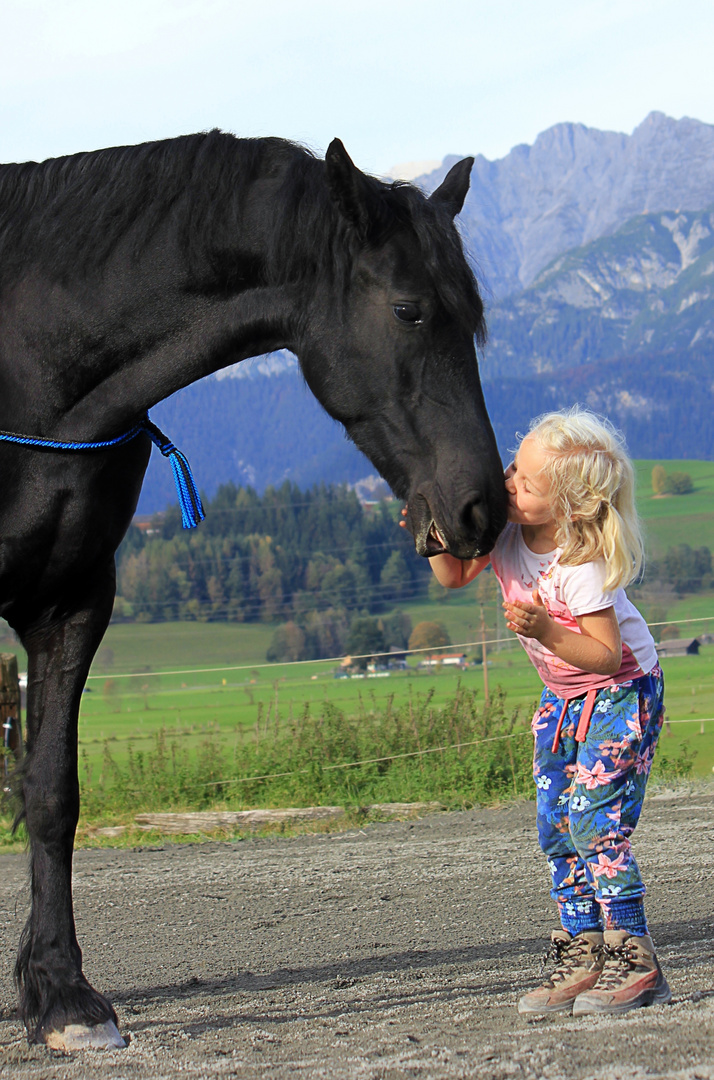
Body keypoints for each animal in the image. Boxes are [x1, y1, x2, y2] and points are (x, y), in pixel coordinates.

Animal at [1, 130, 507, 1049]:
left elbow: (52, 793)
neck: (28, 359)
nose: (482, 507)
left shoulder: (71, 603)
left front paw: (61, 995)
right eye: (409, 310)